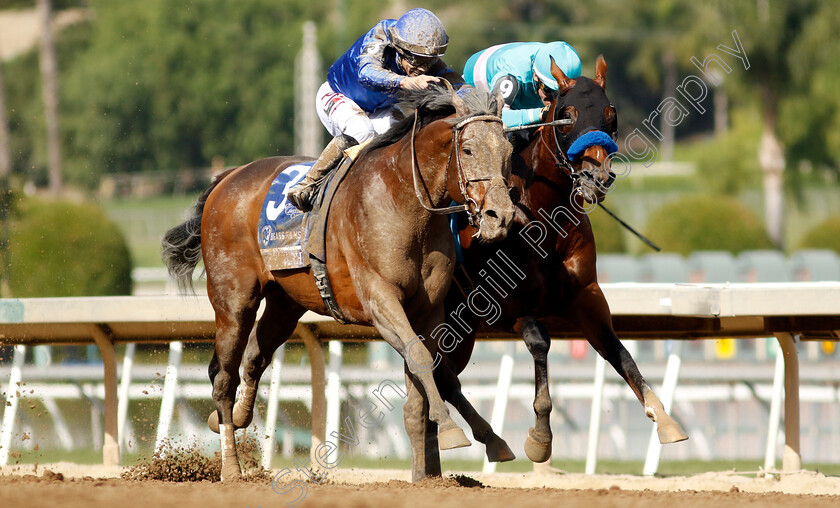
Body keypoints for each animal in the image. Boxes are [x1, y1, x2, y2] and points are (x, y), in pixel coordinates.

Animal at [158, 87, 512, 480]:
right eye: (468, 149)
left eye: (508, 150)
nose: (501, 216)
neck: (404, 199)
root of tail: (228, 177)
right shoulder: (380, 300)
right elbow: (420, 356)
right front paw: (451, 431)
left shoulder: (429, 309)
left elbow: (431, 369)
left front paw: (468, 448)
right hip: (234, 301)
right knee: (223, 377)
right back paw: (232, 468)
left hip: (285, 304)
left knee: (253, 359)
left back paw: (237, 416)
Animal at [420, 55, 688, 472]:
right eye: (566, 116)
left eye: (611, 116)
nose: (596, 176)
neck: (545, 220)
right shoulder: (506, 307)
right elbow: (540, 342)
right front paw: (540, 439)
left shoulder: (586, 297)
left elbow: (620, 353)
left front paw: (664, 418)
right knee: (437, 378)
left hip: (460, 336)